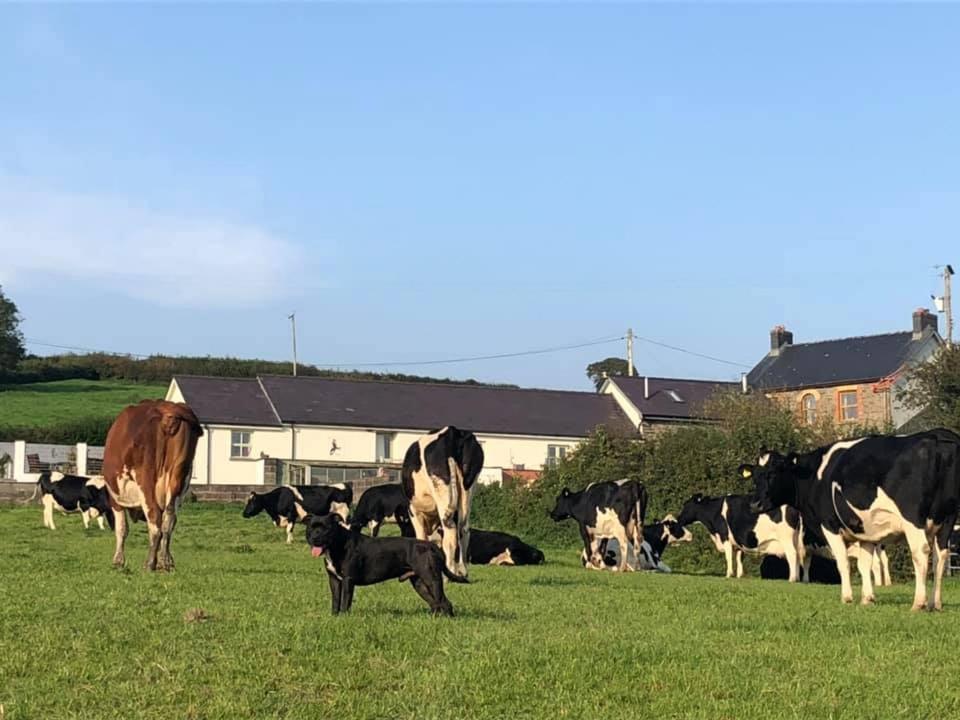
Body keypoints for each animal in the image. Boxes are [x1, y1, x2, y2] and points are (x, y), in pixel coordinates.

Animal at [102, 396, 203, 572]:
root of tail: (169, 410)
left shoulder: (115, 498)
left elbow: (121, 528)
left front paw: (118, 561)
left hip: (146, 479)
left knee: (155, 519)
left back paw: (149, 563)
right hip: (178, 476)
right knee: (169, 520)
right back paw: (165, 562)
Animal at [402, 428, 484, 580]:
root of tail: (453, 431)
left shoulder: (413, 510)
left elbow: (421, 537)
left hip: (442, 490)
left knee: (450, 533)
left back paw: (449, 574)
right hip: (468, 490)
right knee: (463, 530)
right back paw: (462, 572)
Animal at [752, 430, 960, 612]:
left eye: (774, 472)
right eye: (755, 476)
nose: (755, 504)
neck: (815, 475)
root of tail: (937, 437)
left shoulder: (830, 524)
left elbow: (843, 561)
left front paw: (847, 597)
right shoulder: (867, 532)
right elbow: (864, 564)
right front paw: (867, 598)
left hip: (913, 518)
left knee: (920, 552)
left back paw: (919, 603)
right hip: (947, 518)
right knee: (940, 556)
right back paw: (935, 603)